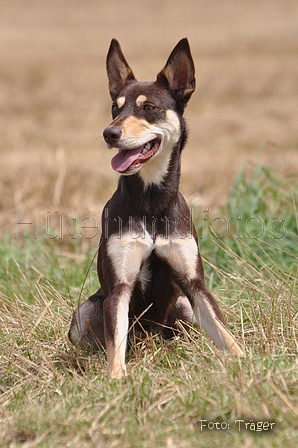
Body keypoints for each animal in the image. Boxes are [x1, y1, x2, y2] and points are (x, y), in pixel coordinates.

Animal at [68, 38, 243, 378]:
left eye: (148, 108)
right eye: (115, 107)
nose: (109, 133)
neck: (151, 201)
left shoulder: (194, 284)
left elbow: (224, 332)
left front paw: (247, 361)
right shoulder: (119, 288)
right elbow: (116, 344)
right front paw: (116, 379)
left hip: (184, 308)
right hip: (85, 313)